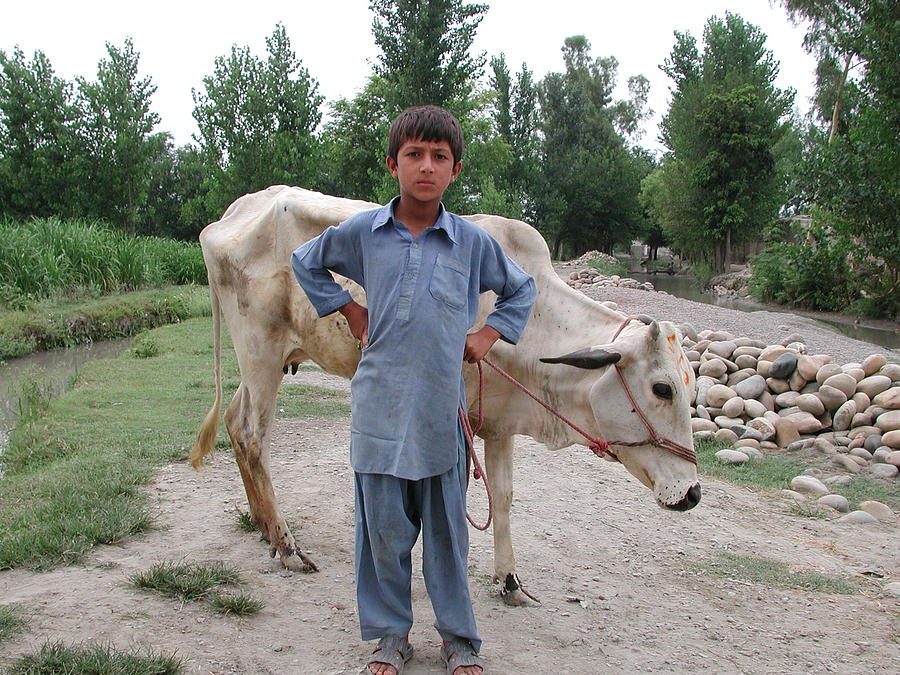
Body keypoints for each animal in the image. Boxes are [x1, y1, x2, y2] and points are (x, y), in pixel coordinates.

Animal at [193, 186, 700, 608]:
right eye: (662, 388)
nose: (692, 493)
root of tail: (232, 213)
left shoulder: (499, 422)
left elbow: (503, 496)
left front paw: (510, 581)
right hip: (260, 352)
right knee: (251, 433)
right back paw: (287, 545)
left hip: (263, 363)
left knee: (236, 425)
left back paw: (263, 528)